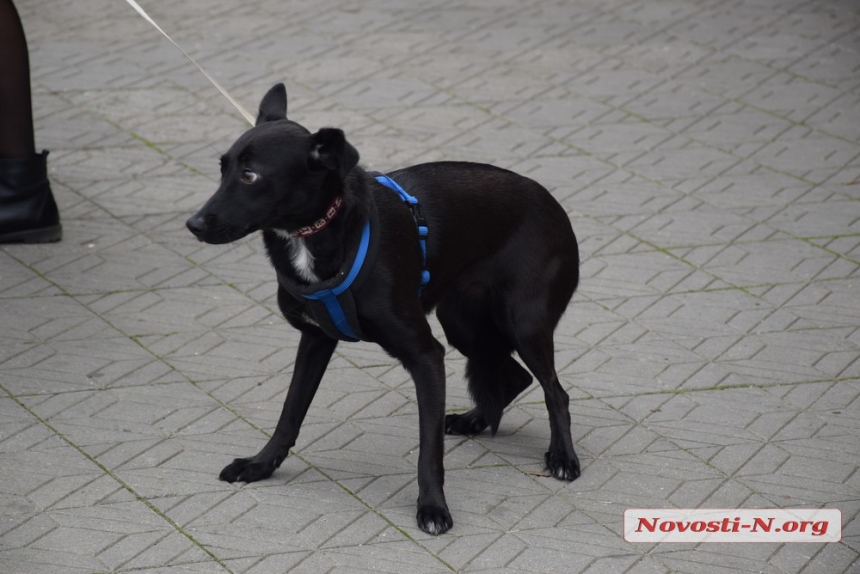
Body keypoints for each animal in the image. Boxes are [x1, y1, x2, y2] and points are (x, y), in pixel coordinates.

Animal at [185, 84, 580, 536]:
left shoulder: (426, 356)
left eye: (250, 176)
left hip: (523, 323)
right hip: (462, 322)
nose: (193, 224)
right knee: (513, 377)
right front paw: (260, 465)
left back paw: (563, 457)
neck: (320, 233)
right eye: (222, 169)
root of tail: (551, 201)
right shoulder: (315, 339)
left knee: (555, 391)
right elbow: (289, 414)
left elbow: (429, 449)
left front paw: (433, 507)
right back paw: (473, 421)